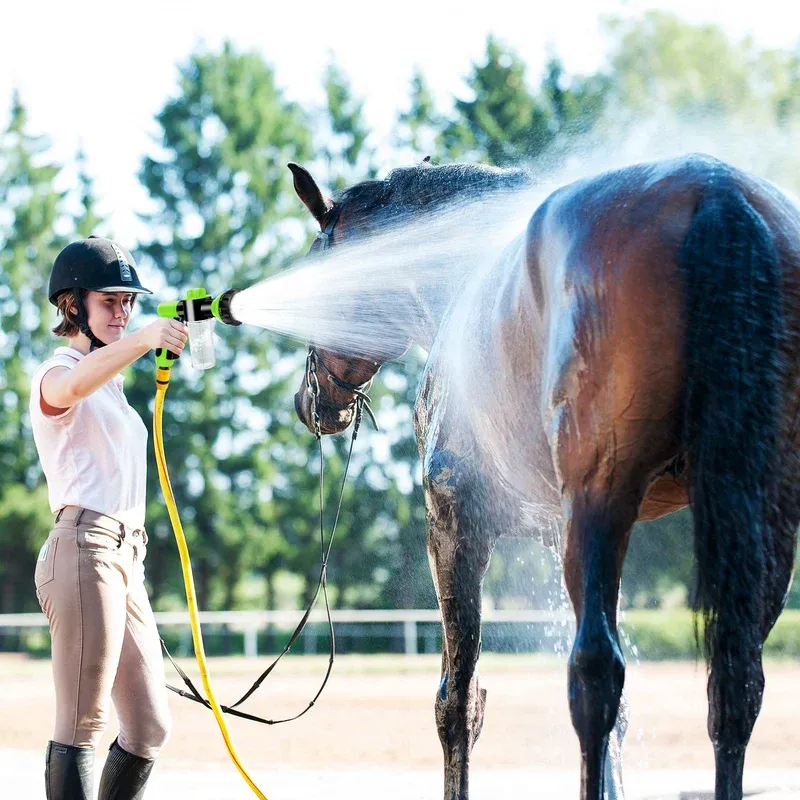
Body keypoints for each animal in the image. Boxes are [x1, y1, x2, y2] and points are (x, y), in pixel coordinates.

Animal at [288, 152, 800, 800]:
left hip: (603, 498)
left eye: (316, 267)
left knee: (595, 673)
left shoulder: (454, 523)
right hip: (758, 520)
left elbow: (458, 702)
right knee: (734, 684)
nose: (309, 402)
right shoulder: (560, 534)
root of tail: (717, 192)